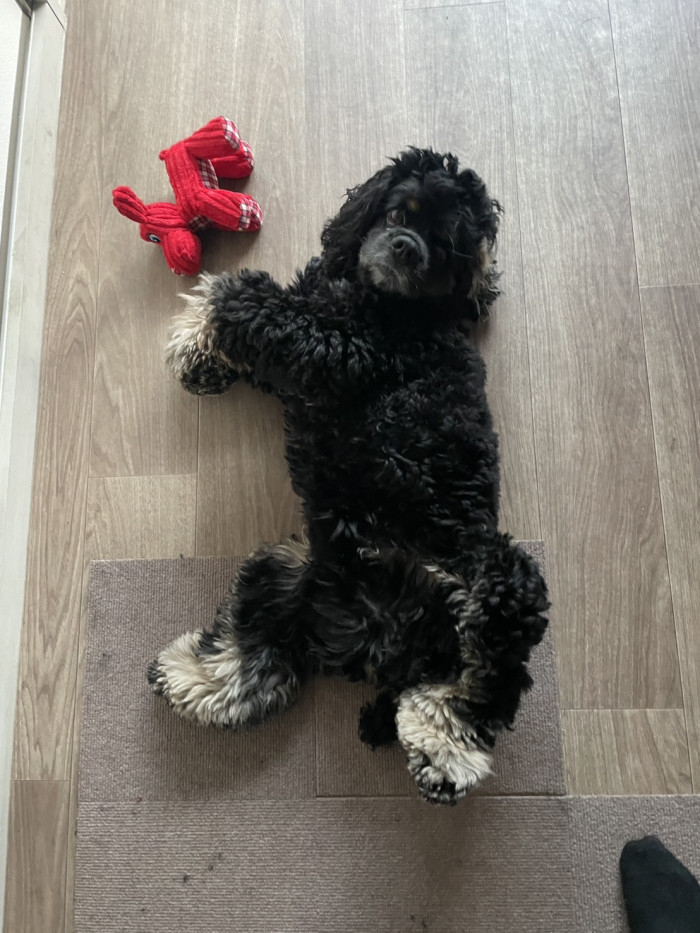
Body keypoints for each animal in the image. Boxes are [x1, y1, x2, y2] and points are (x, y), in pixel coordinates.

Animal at [148, 148, 549, 805]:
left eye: (447, 245)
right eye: (400, 213)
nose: (406, 248)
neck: (393, 306)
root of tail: (379, 646)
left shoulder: (336, 352)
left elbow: (249, 299)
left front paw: (203, 320)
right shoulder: (305, 369)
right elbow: (259, 321)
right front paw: (199, 355)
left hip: (504, 580)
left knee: (491, 677)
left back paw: (445, 753)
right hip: (289, 568)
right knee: (262, 660)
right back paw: (192, 678)